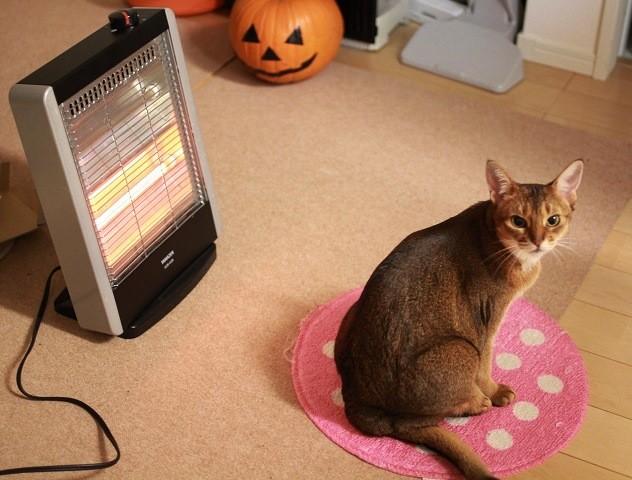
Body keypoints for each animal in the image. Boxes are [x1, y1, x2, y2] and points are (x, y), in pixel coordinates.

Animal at [334, 159, 584, 480]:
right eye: (518, 221)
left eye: (553, 220)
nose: (538, 242)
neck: (492, 235)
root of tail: (358, 402)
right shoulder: (486, 320)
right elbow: (485, 364)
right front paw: (495, 391)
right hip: (461, 348)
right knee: (414, 422)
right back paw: (477, 403)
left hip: (352, 312)